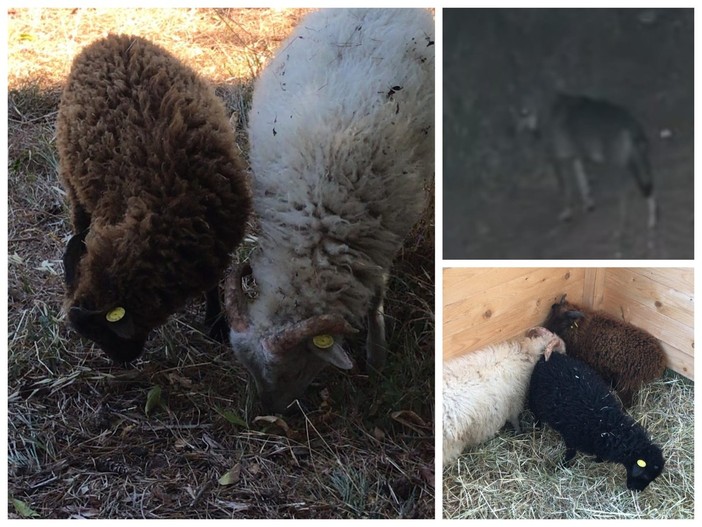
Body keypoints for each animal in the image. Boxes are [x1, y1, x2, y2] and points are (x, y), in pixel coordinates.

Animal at [57, 34, 251, 362]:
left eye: (103, 332)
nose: (123, 361)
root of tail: (109, 38)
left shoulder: (216, 244)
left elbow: (213, 284)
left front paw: (216, 325)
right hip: (71, 178)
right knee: (79, 218)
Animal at [528, 352, 665, 491]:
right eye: (646, 476)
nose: (636, 490)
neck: (609, 426)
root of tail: (551, 356)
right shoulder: (571, 437)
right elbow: (571, 454)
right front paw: (563, 466)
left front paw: (596, 460)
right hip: (534, 400)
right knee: (536, 414)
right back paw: (537, 428)